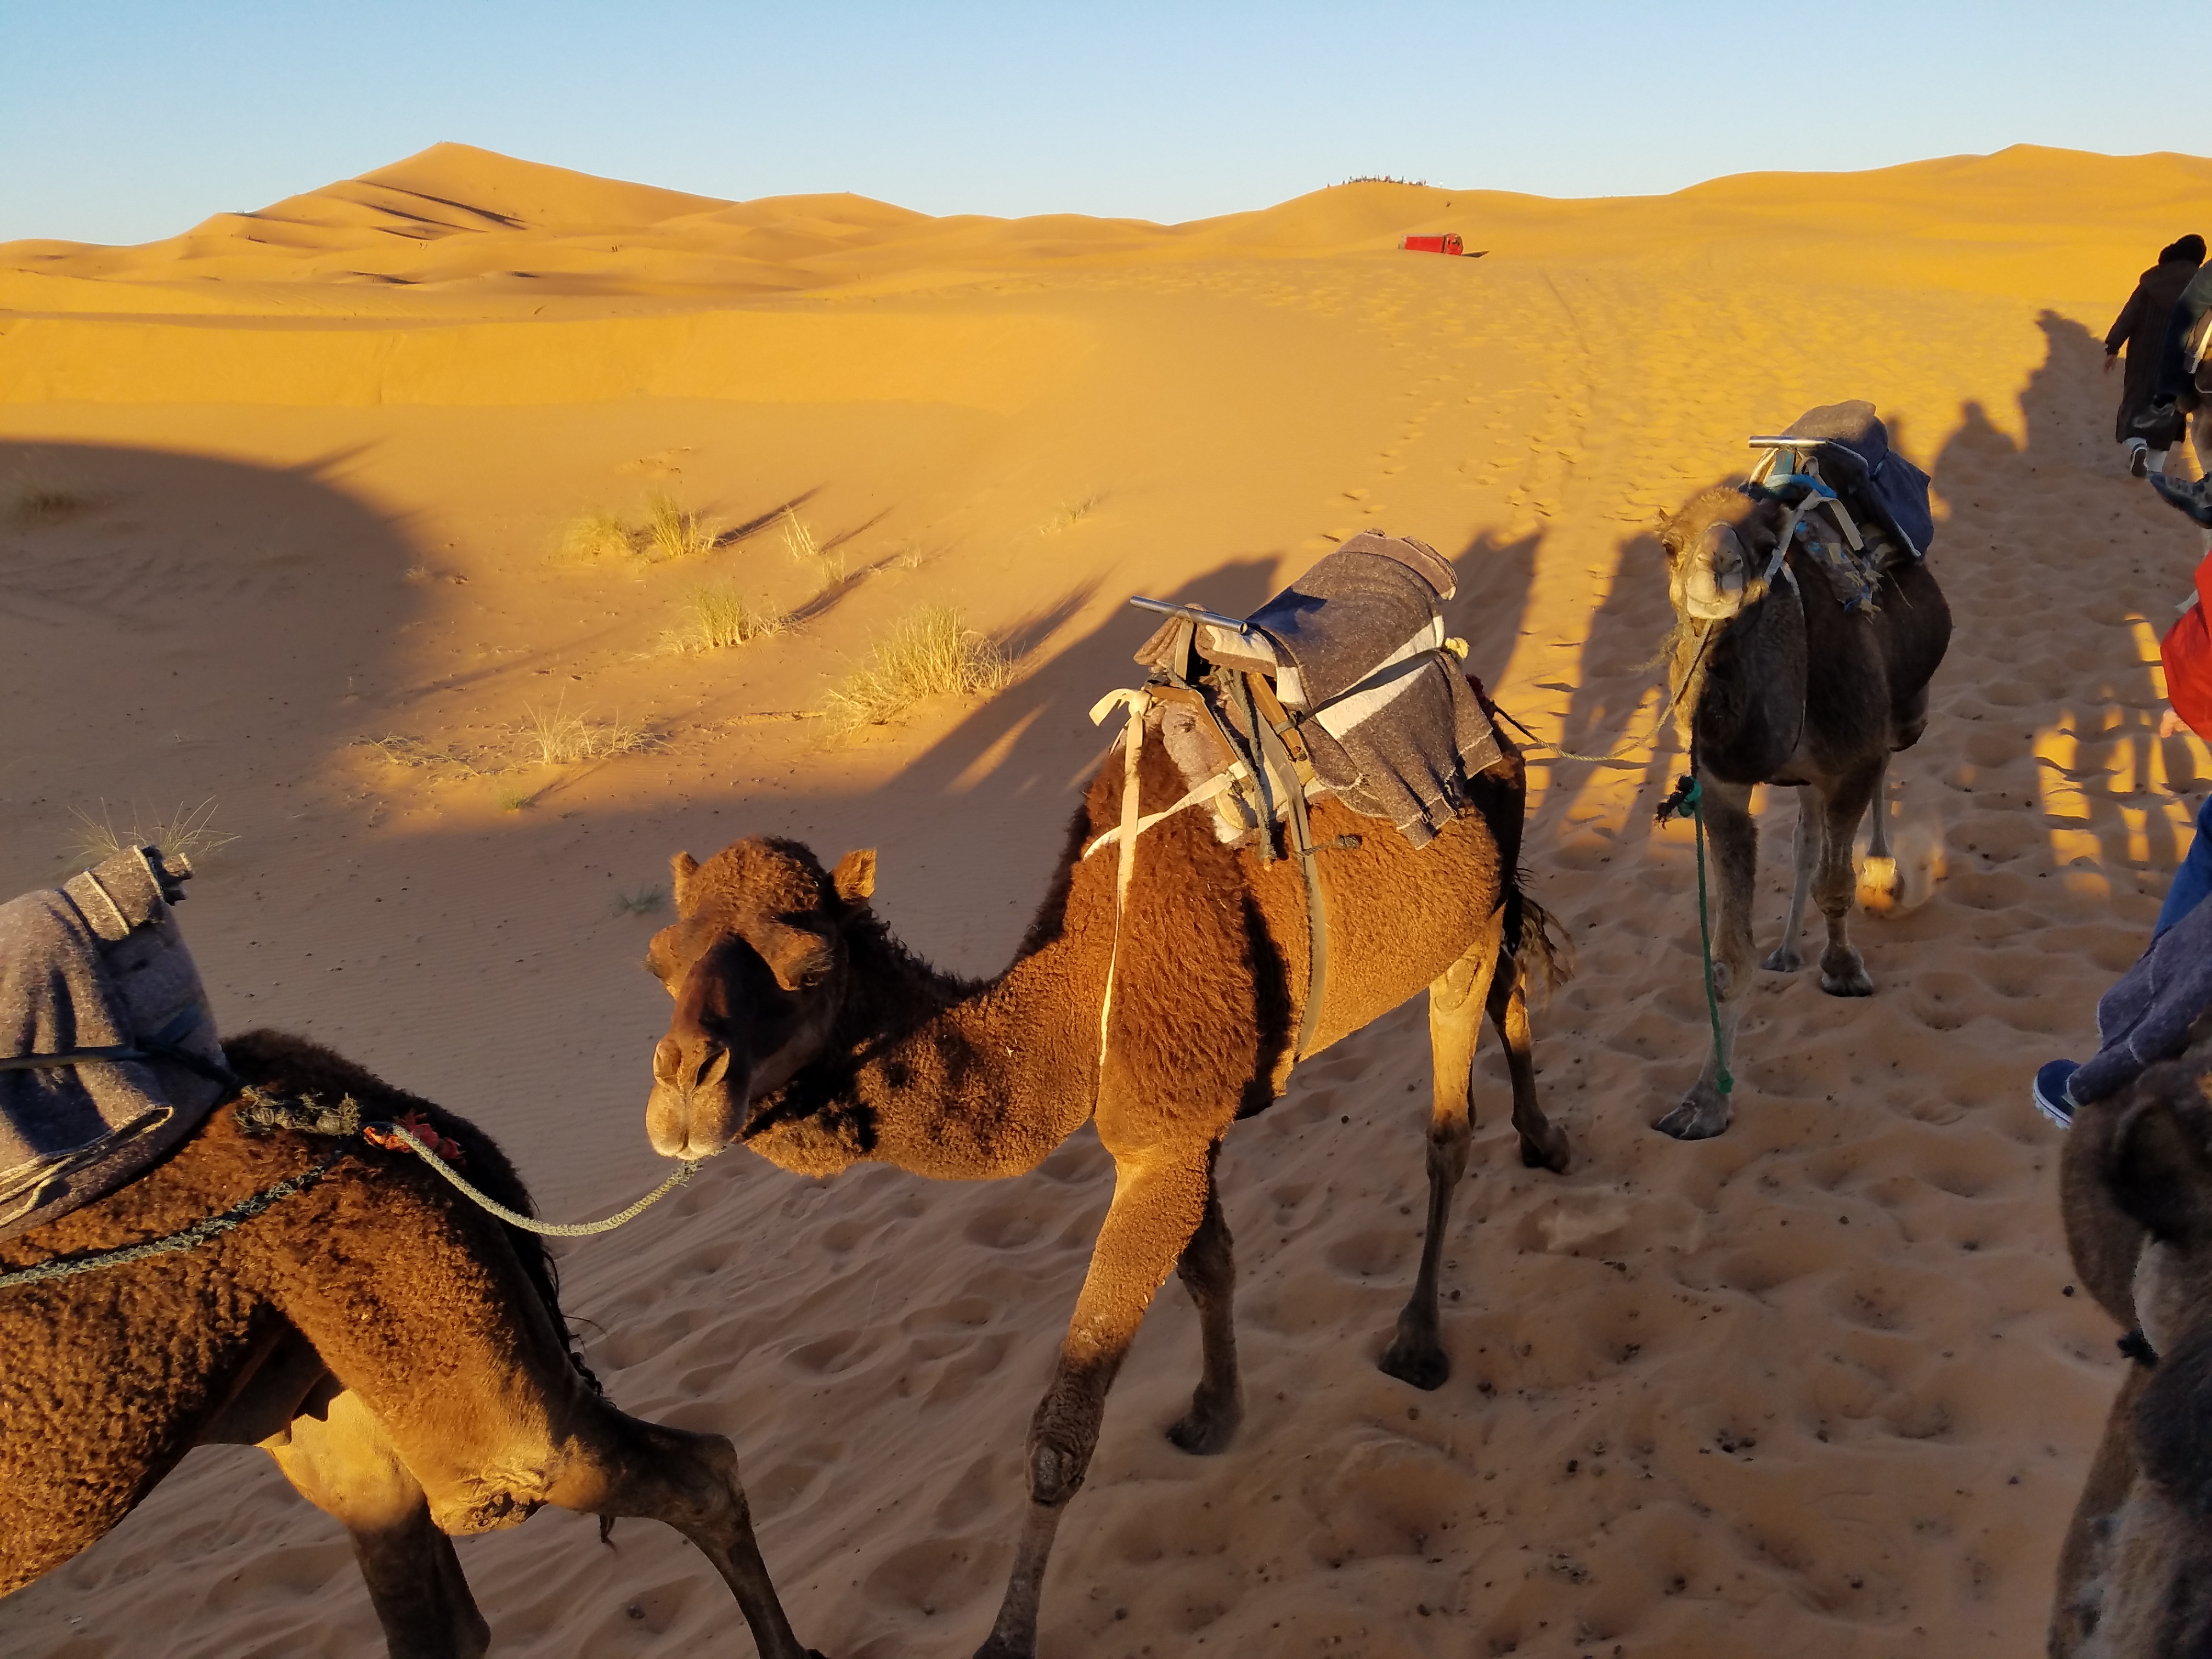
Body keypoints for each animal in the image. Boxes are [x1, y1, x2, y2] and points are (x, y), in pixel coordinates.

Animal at [641, 703, 1575, 1659]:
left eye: (811, 967)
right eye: (659, 964)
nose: (683, 1092)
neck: (1078, 998)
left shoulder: (1164, 1145)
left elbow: (1062, 1428)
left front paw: (1007, 1637)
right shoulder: (1180, 1135)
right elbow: (1211, 1267)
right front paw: (1215, 1412)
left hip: (1462, 918)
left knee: (1449, 1121)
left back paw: (1420, 1336)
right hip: (1486, 891)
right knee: (1511, 982)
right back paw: (1541, 1137)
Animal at [1654, 473, 1946, 1141]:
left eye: (1767, 547)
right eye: (1670, 545)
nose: (1719, 566)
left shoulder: (1854, 759)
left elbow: (1837, 886)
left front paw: (1843, 968)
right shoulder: (1723, 788)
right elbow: (1728, 959)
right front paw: (1704, 1102)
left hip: (1906, 717)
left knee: (1882, 776)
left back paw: (1886, 875)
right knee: (1807, 837)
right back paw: (1787, 950)